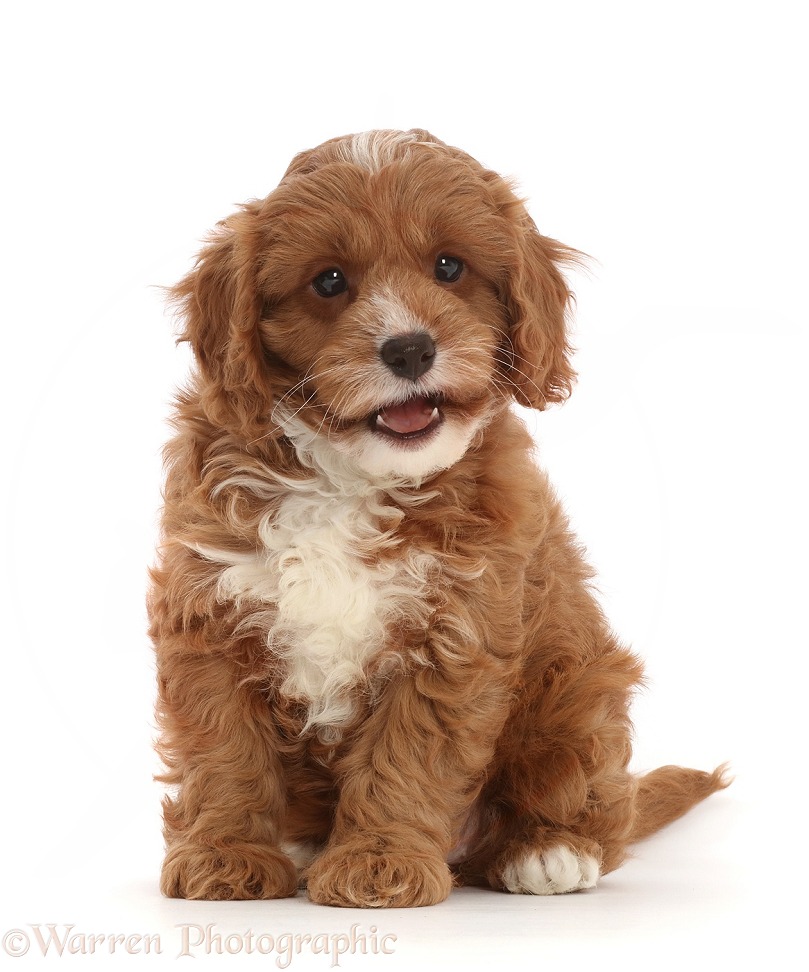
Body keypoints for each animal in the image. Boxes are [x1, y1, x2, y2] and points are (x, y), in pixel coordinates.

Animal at [148, 127, 728, 904]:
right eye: (328, 281)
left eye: (449, 267)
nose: (410, 347)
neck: (350, 476)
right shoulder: (210, 612)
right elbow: (224, 748)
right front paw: (225, 853)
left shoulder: (454, 634)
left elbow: (405, 758)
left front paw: (378, 863)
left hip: (581, 689)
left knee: (590, 792)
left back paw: (546, 850)